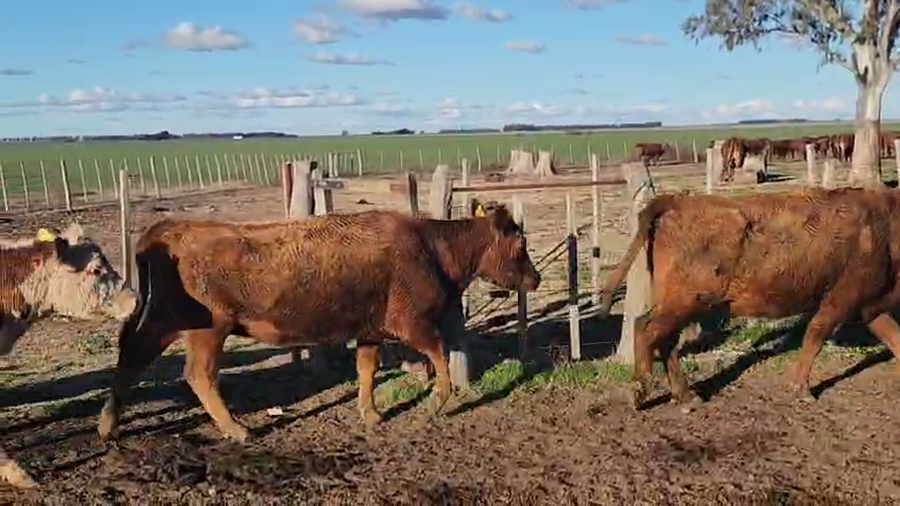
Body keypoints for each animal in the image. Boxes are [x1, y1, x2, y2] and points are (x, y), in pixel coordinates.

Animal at [96, 208, 542, 443]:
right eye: (520, 245)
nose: (535, 280)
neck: (430, 248)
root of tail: (172, 228)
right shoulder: (412, 323)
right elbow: (442, 359)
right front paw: (436, 402)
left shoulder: (370, 329)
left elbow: (366, 370)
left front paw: (370, 413)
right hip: (208, 328)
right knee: (198, 375)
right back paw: (236, 429)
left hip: (163, 320)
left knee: (131, 357)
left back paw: (108, 424)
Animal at [597, 188, 900, 411]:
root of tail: (678, 201)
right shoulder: (841, 300)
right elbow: (815, 336)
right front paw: (799, 390)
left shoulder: (871, 308)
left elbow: (894, 337)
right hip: (684, 303)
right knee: (647, 330)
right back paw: (638, 392)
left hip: (681, 305)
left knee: (663, 338)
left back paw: (686, 397)